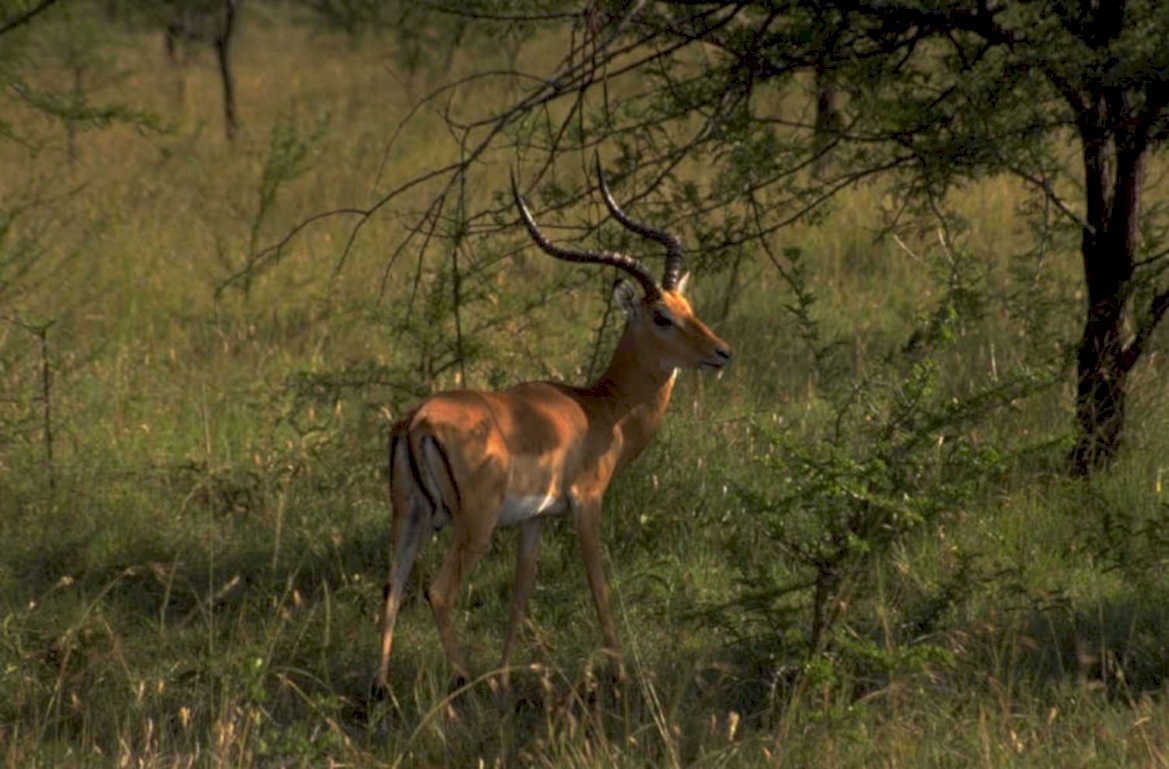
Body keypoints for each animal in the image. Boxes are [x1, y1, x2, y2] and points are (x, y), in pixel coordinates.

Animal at [377, 158, 731, 693]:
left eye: (688, 308)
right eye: (661, 316)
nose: (721, 352)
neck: (600, 410)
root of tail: (418, 421)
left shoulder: (534, 520)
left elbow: (520, 596)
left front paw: (504, 677)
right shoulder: (587, 504)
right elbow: (599, 586)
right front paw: (619, 672)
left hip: (410, 516)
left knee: (392, 588)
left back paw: (379, 687)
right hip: (473, 525)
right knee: (437, 592)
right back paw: (461, 678)